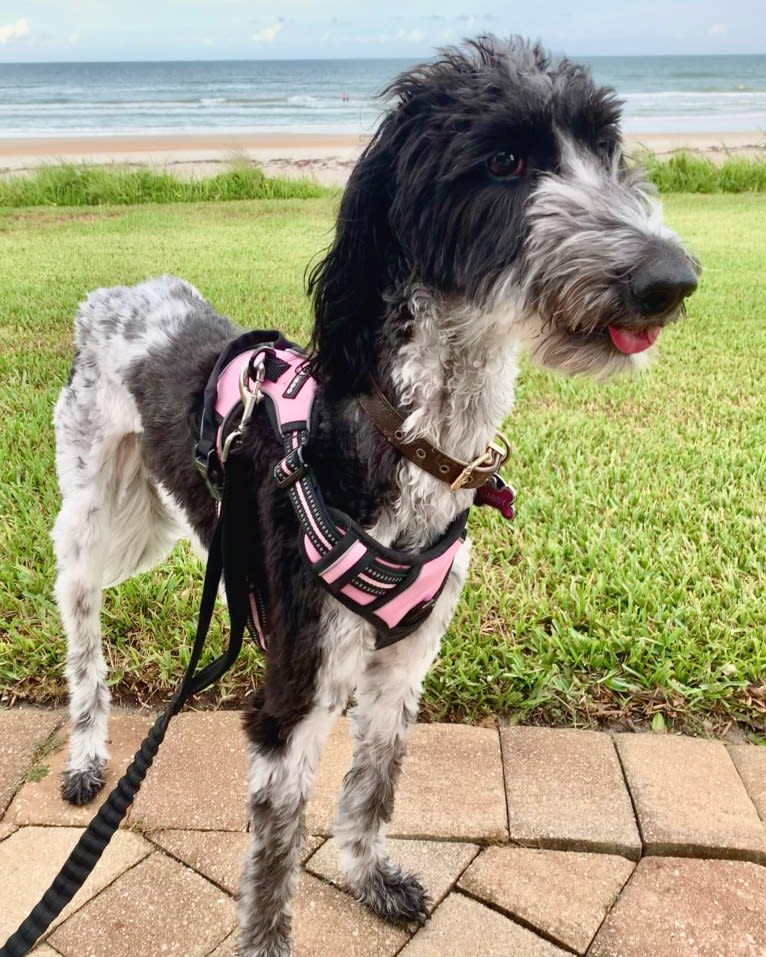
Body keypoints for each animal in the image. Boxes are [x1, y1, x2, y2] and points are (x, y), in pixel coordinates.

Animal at [52, 37, 704, 956]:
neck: (408, 442)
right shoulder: (293, 699)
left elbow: (371, 787)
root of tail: (117, 294)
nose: (671, 279)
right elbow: (273, 861)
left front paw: (368, 875)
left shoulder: (402, 671)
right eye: (504, 162)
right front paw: (270, 936)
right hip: (96, 516)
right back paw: (84, 752)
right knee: (81, 623)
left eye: (605, 147)